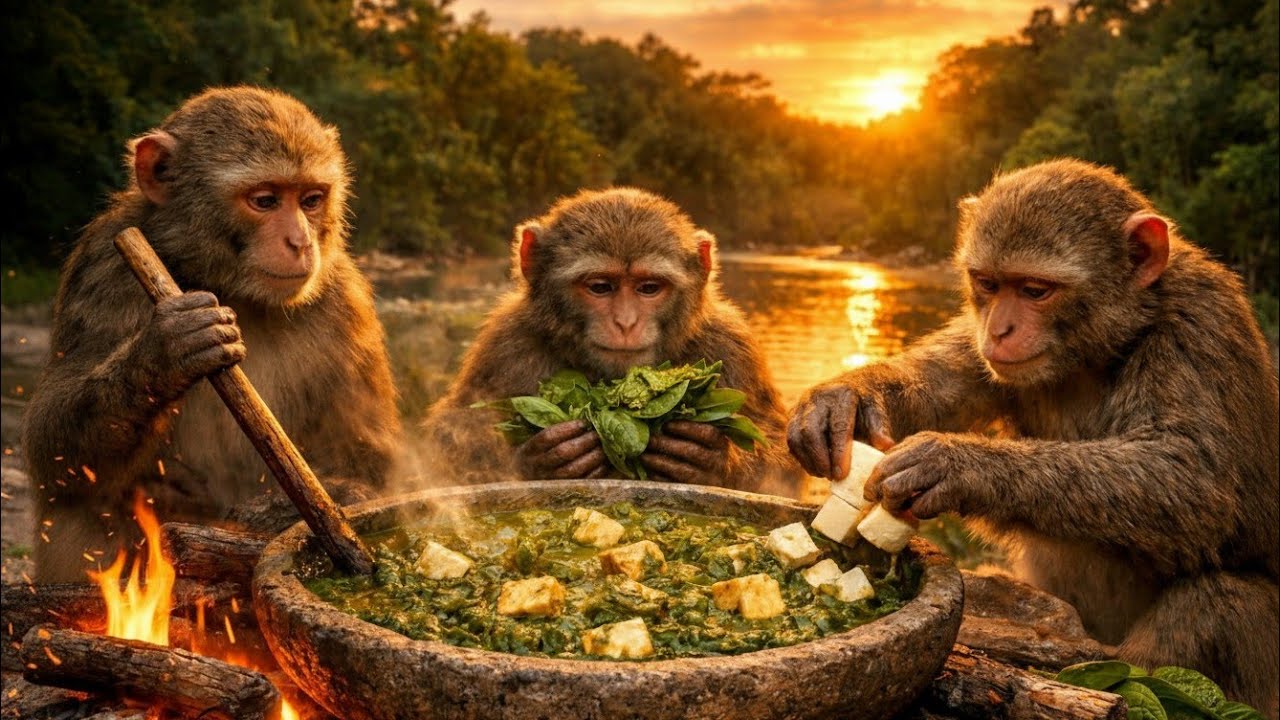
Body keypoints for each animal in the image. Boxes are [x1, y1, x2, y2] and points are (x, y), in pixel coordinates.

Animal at [21, 86, 402, 582]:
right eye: (265, 200)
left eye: (311, 200)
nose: (300, 243)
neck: (232, 287)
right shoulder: (104, 267)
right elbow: (52, 454)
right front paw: (163, 356)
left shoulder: (345, 299)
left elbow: (370, 458)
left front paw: (286, 511)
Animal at [420, 187, 801, 496]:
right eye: (600, 287)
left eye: (649, 288)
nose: (626, 322)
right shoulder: (506, 344)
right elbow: (450, 437)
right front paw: (541, 457)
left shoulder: (731, 345)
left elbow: (779, 454)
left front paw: (708, 460)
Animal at [787, 159, 1279, 714]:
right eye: (987, 283)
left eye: (1035, 291)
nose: (1000, 330)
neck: (1099, 350)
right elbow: (940, 384)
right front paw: (842, 400)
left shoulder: (1200, 324)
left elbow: (1195, 479)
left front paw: (952, 465)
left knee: (1224, 604)